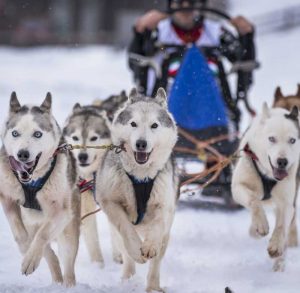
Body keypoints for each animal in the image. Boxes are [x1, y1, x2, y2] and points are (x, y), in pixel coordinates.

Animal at [0, 93, 80, 286]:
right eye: (15, 133)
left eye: (37, 134)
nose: (22, 154)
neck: (32, 181)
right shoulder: (7, 198)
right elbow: (20, 234)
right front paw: (26, 251)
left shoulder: (61, 211)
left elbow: (43, 235)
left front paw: (30, 258)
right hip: (31, 222)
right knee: (49, 253)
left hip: (68, 230)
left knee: (67, 264)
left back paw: (67, 285)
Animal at [63, 104, 122, 266]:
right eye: (75, 137)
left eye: (93, 138)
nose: (82, 156)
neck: (93, 174)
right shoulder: (85, 206)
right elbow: (92, 238)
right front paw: (98, 265)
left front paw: (119, 257)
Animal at [96, 88, 178, 290]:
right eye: (133, 123)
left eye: (154, 125)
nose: (141, 143)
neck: (141, 177)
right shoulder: (109, 201)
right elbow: (125, 227)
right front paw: (136, 249)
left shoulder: (164, 205)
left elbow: (157, 225)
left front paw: (149, 246)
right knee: (126, 253)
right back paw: (128, 278)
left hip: (166, 235)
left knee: (156, 263)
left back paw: (153, 288)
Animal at [232, 103, 300, 272]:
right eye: (272, 139)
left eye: (292, 140)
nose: (282, 161)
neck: (268, 174)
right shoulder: (238, 187)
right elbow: (254, 201)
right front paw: (260, 224)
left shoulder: (287, 203)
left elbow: (281, 226)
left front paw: (276, 245)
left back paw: (279, 264)